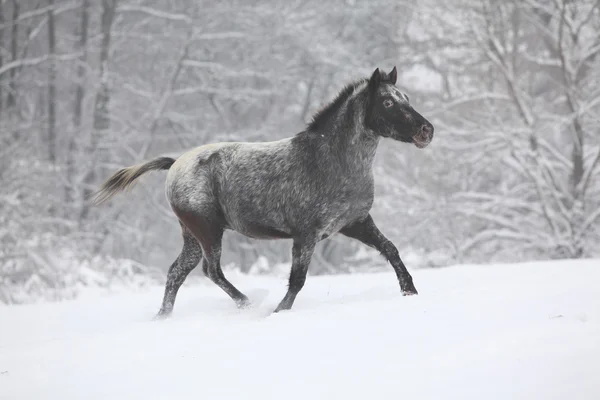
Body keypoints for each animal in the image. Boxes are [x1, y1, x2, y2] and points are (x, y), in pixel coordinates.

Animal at [92, 67, 432, 318]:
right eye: (387, 102)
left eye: (406, 97)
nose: (426, 130)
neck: (334, 160)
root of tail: (175, 164)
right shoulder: (306, 234)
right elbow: (297, 279)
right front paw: (278, 311)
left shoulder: (355, 223)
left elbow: (390, 249)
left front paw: (410, 291)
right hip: (207, 230)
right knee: (211, 270)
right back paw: (247, 303)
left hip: (192, 236)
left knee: (177, 272)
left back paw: (163, 316)